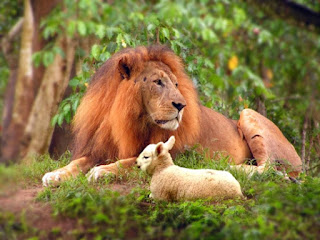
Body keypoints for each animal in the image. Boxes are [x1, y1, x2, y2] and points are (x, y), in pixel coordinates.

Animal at [42, 45, 302, 188]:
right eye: (158, 82)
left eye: (176, 84)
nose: (181, 105)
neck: (133, 120)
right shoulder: (98, 149)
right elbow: (76, 163)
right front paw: (54, 174)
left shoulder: (174, 154)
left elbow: (131, 161)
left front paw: (102, 171)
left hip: (247, 113)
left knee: (270, 168)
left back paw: (231, 167)